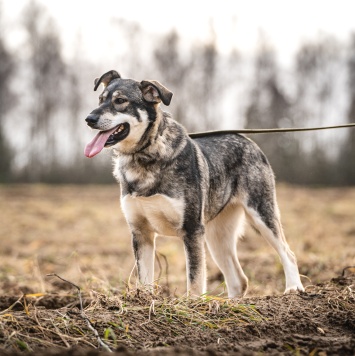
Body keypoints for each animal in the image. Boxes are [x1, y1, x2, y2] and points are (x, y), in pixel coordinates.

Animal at [85, 69, 304, 298]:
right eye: (100, 99)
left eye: (120, 101)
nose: (89, 119)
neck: (145, 156)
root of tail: (250, 141)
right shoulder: (141, 232)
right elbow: (144, 279)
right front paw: (144, 300)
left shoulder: (191, 230)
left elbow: (195, 280)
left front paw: (193, 303)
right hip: (217, 235)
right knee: (239, 280)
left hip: (261, 214)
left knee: (287, 253)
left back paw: (293, 288)